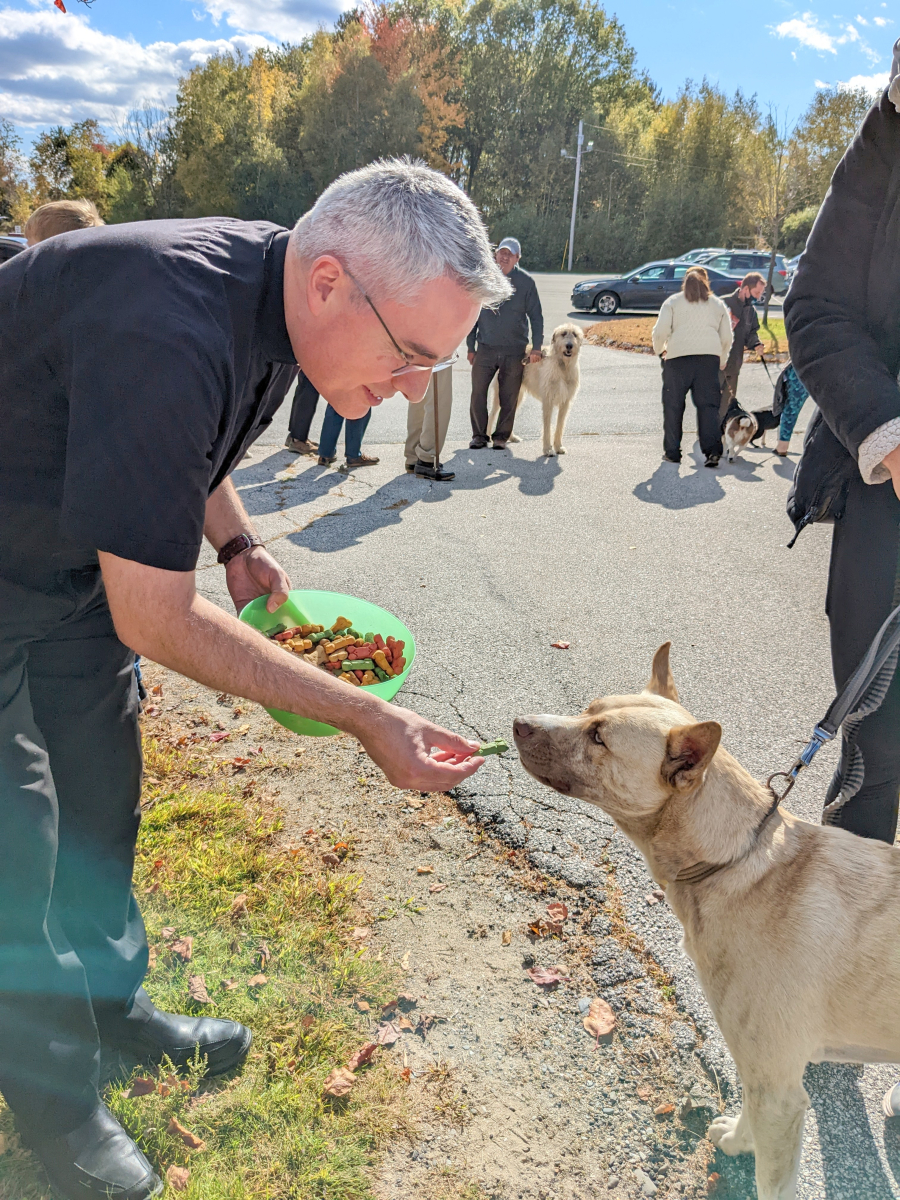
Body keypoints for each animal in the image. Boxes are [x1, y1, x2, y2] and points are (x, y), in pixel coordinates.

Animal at [494, 321, 585, 456]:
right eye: (563, 334)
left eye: (575, 334)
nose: (569, 346)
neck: (563, 365)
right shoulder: (548, 400)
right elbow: (547, 426)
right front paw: (547, 449)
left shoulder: (565, 402)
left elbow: (560, 424)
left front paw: (558, 447)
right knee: (493, 413)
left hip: (517, 395)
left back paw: (511, 437)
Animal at [513, 648, 900, 1200]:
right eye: (588, 711)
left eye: (598, 738)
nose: (519, 723)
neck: (739, 859)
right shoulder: (761, 1076)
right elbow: (750, 1110)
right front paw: (739, 1139)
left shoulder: (780, 1093)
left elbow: (772, 1175)